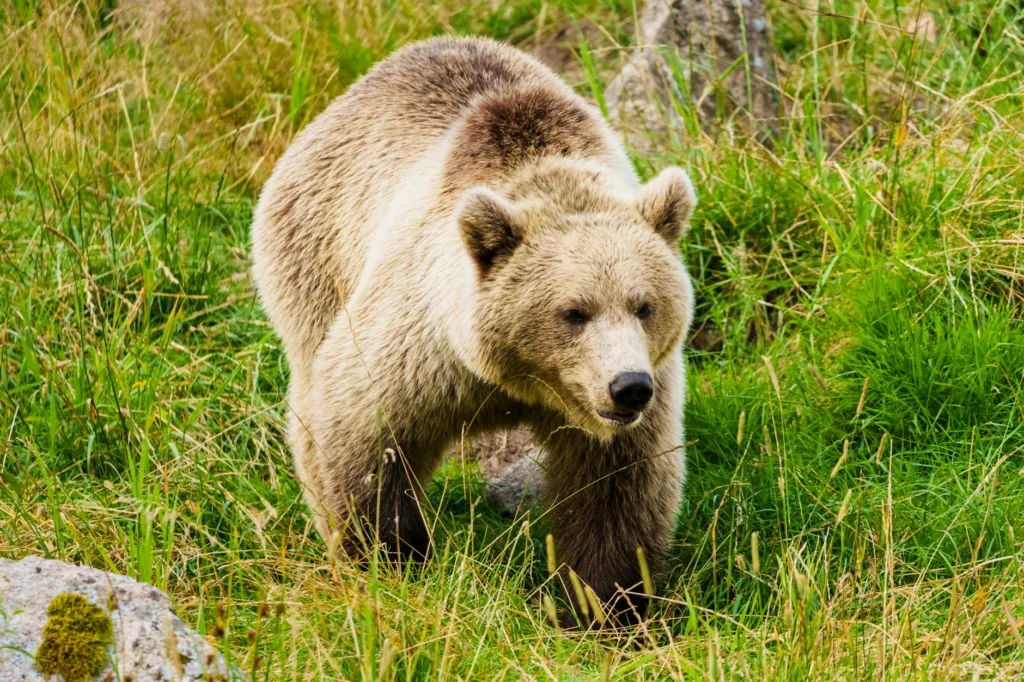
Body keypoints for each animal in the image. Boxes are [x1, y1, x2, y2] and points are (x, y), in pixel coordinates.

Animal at [251, 36, 696, 625]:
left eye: (644, 305)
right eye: (574, 311)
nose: (628, 387)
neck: (518, 380)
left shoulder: (636, 403)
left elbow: (617, 493)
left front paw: (606, 607)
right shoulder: (418, 349)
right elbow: (366, 439)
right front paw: (387, 559)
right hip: (315, 260)